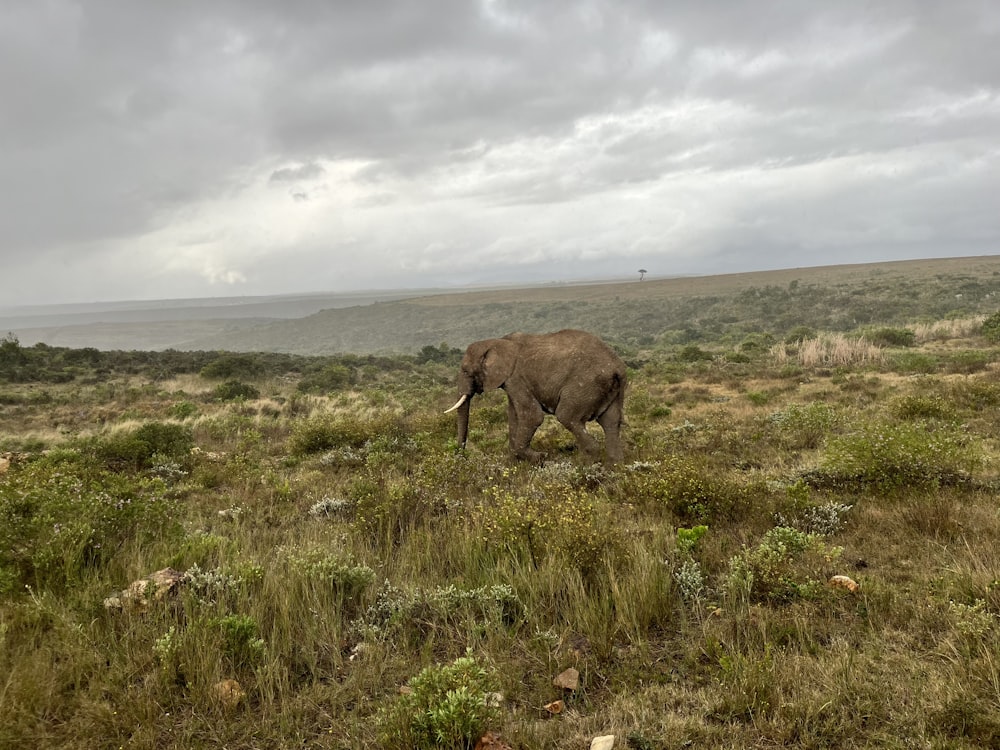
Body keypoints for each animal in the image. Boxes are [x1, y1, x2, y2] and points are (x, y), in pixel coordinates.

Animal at [446, 330, 624, 464]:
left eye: (465, 371)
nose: (461, 457)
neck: (495, 342)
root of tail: (617, 366)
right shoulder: (511, 382)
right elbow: (514, 416)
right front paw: (515, 463)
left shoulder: (517, 378)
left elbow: (532, 416)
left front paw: (541, 457)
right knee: (611, 422)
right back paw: (614, 466)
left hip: (586, 384)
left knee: (567, 416)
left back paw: (589, 465)